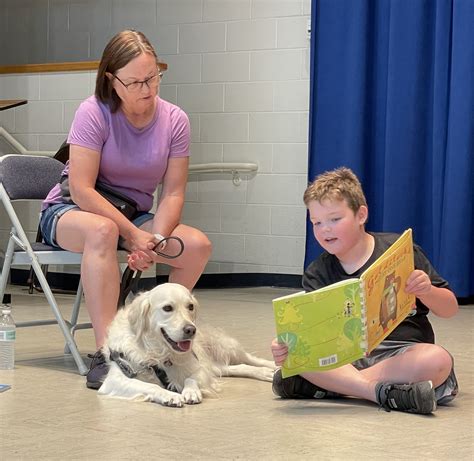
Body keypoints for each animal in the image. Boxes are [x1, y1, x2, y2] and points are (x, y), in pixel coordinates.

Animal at [98, 282, 276, 404]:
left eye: (190, 306)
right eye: (167, 308)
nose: (191, 330)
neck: (159, 352)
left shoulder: (199, 367)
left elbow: (190, 379)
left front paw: (190, 392)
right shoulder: (115, 379)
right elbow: (151, 386)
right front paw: (169, 395)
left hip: (225, 346)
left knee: (250, 359)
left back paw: (273, 367)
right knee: (238, 367)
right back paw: (267, 372)